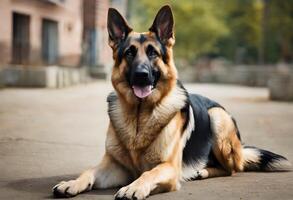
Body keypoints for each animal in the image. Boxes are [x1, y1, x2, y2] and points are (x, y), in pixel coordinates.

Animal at [53, 5, 290, 200]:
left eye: (153, 53)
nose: (141, 75)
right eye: (129, 53)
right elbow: (88, 171)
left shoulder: (168, 167)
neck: (139, 116)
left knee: (232, 169)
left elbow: (149, 173)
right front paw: (72, 183)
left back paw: (202, 171)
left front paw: (133, 187)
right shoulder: (114, 166)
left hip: (217, 119)